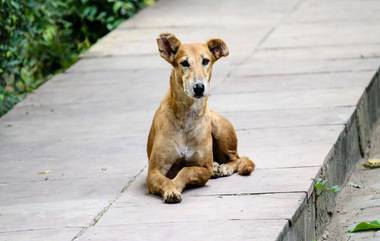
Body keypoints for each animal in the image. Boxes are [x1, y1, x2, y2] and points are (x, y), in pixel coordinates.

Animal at [145, 32, 255, 203]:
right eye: (184, 63)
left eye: (205, 61)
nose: (198, 87)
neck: (187, 115)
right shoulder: (154, 170)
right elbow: (166, 179)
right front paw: (171, 189)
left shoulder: (203, 168)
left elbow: (185, 171)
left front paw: (175, 184)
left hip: (219, 126)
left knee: (237, 158)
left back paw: (224, 167)